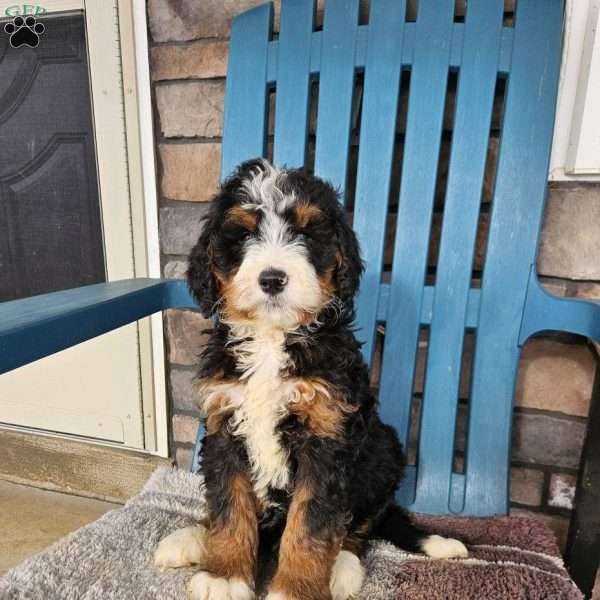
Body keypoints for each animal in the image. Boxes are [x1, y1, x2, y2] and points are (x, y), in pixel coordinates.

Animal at [155, 159, 468, 600]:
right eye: (245, 235)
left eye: (304, 234)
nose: (272, 278)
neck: (272, 338)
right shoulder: (224, 425)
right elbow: (229, 506)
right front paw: (225, 575)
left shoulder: (326, 435)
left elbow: (311, 524)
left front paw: (295, 588)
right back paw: (190, 538)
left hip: (382, 450)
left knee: (362, 524)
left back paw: (344, 568)